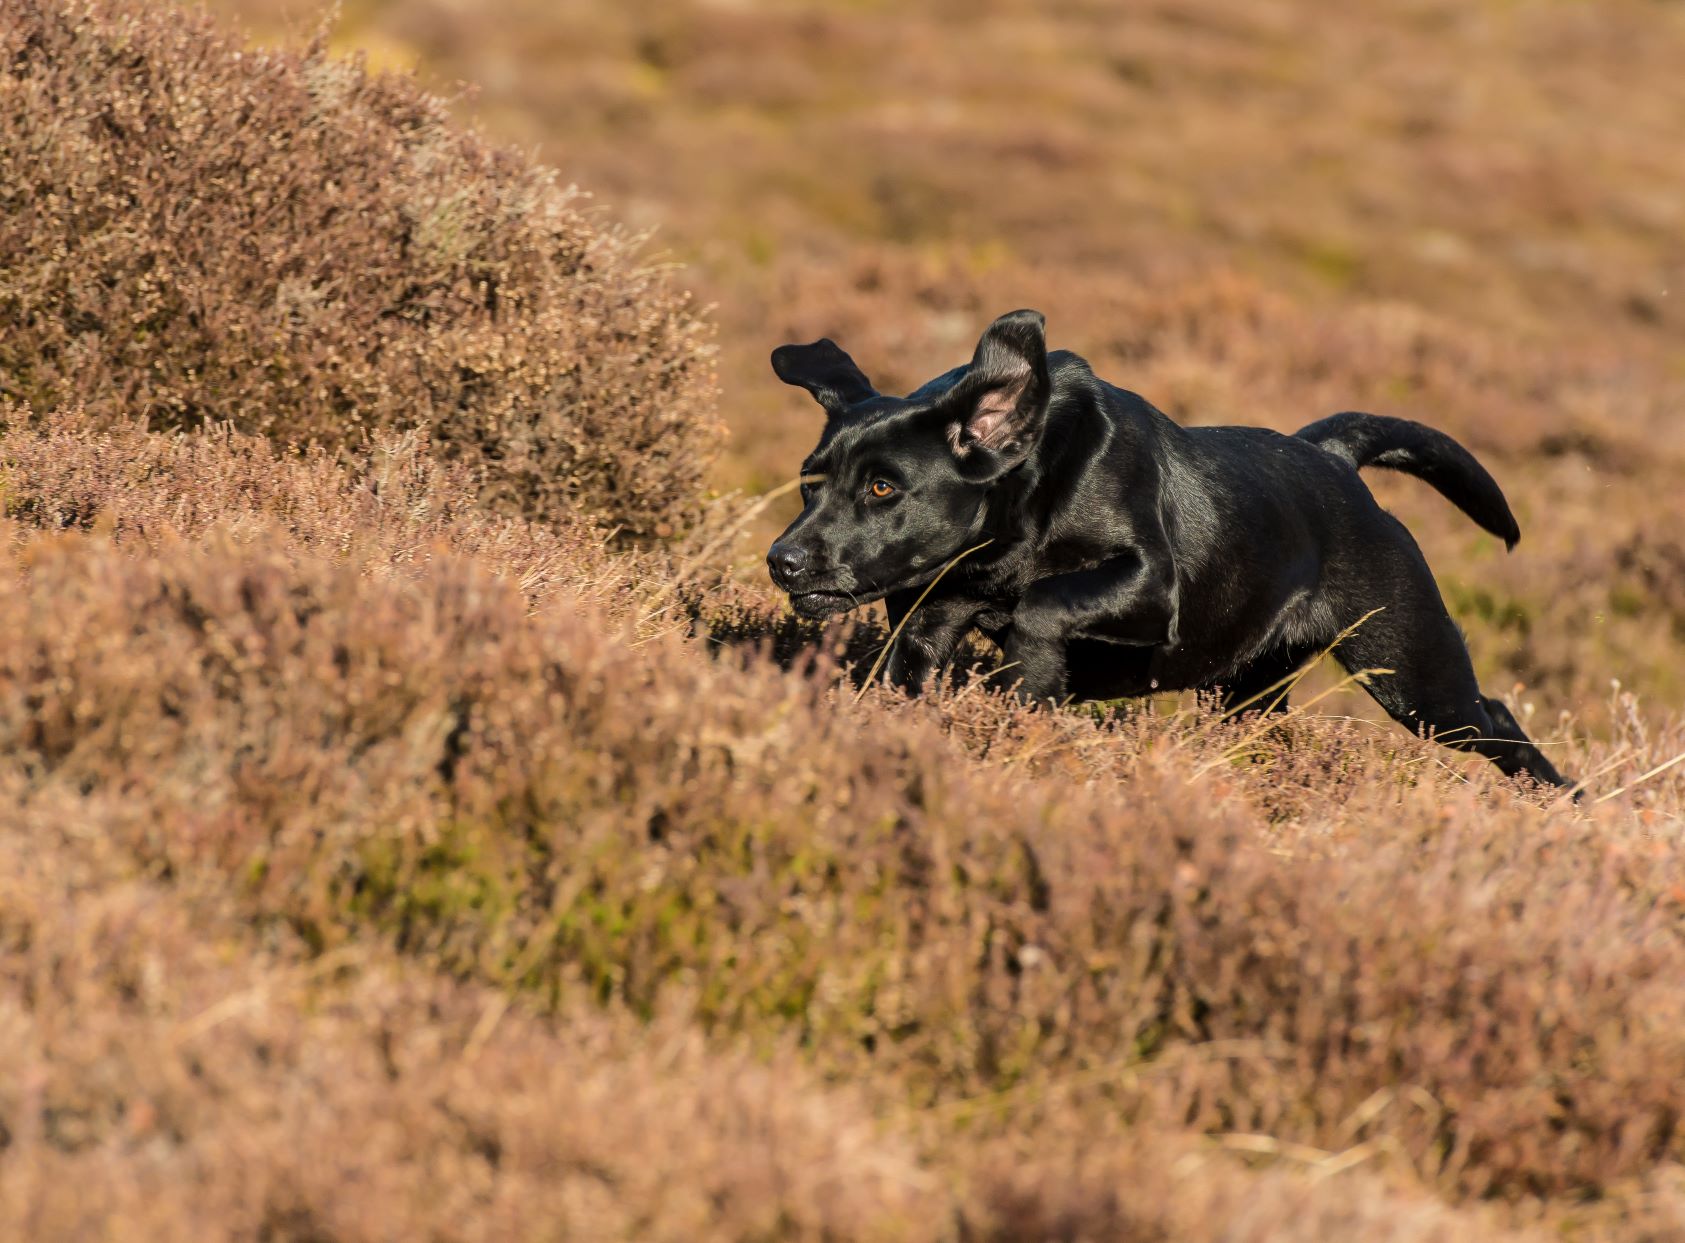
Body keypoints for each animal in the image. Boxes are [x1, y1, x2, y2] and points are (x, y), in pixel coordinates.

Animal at [771, 308, 1570, 784]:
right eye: (810, 481)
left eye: (882, 487)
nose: (782, 560)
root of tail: (1335, 461)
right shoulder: (927, 620)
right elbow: (907, 674)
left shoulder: (1150, 586)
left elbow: (1040, 604)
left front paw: (1030, 685)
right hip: (1249, 692)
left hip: (1413, 675)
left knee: (1498, 721)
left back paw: (1562, 803)